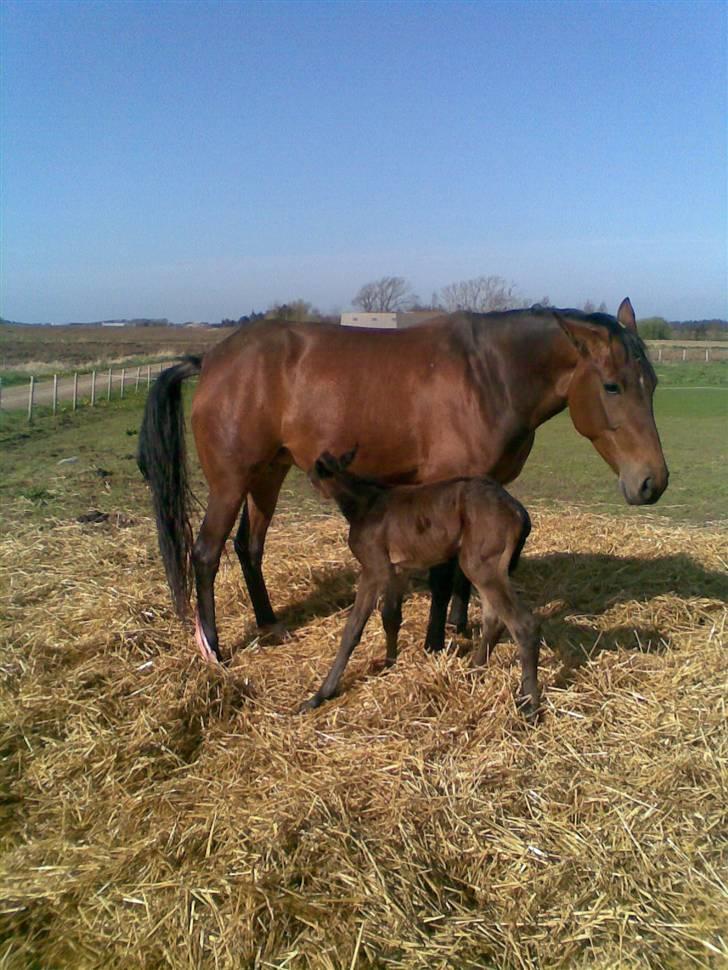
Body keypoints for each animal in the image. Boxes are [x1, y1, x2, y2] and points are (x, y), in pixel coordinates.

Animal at [302, 450, 540, 716]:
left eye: (314, 472)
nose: (308, 477)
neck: (364, 504)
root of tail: (519, 513)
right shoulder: (399, 569)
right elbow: (391, 617)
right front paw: (389, 664)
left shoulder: (373, 567)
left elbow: (353, 629)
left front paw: (319, 695)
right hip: (484, 566)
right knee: (494, 620)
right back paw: (472, 672)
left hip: (482, 565)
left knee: (523, 624)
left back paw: (529, 704)